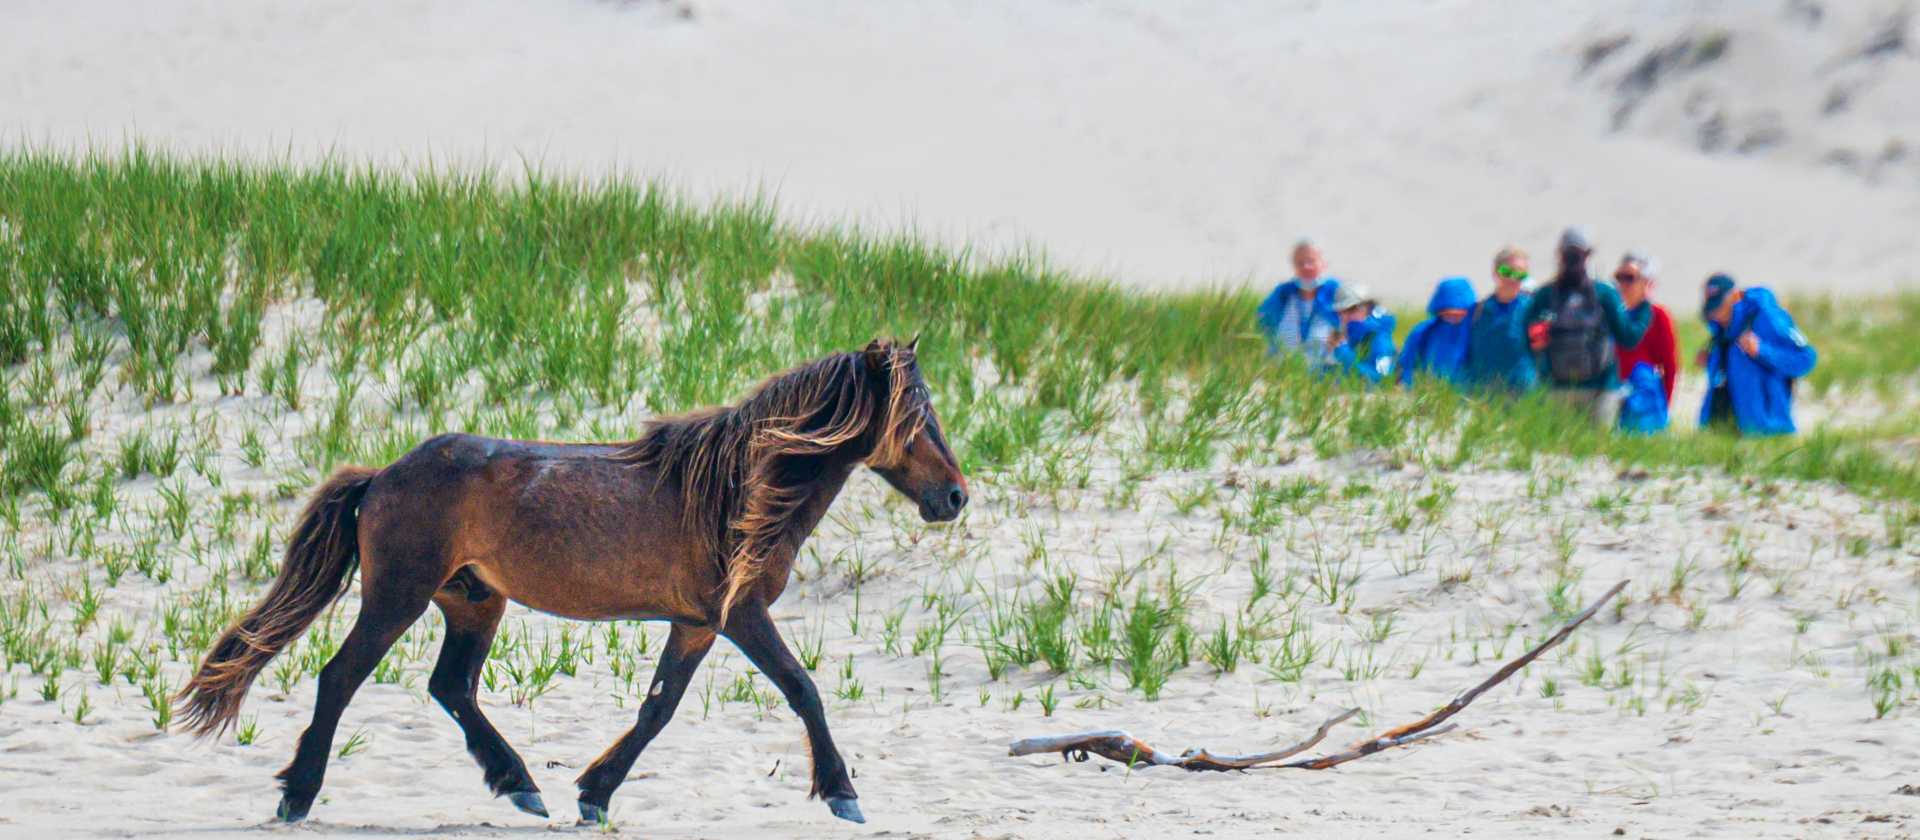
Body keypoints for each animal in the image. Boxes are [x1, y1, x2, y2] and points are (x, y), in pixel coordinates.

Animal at [175, 338, 968, 826]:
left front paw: (594, 793)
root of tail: (382, 475)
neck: (734, 489)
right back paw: (297, 796)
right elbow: (803, 689)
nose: (956, 498)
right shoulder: (739, 615)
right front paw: (843, 795)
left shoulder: (696, 624)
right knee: (341, 677)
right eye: (917, 414)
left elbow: (658, 709)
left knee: (451, 687)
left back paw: (522, 786)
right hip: (397, 597)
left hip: (474, 602)